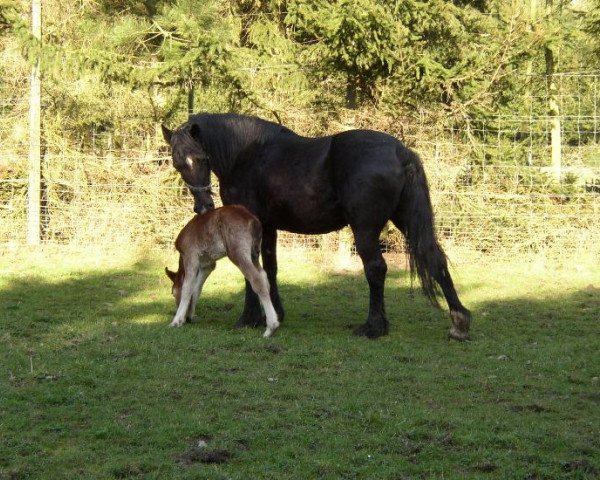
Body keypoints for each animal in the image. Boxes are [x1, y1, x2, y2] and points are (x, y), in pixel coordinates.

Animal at [162, 113, 472, 340]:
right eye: (178, 164)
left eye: (201, 158)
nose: (203, 206)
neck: (247, 154)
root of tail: (400, 151)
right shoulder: (268, 228)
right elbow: (270, 269)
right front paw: (275, 314)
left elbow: (252, 274)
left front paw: (249, 319)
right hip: (405, 219)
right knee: (434, 258)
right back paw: (459, 321)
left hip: (365, 228)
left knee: (375, 269)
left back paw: (373, 327)